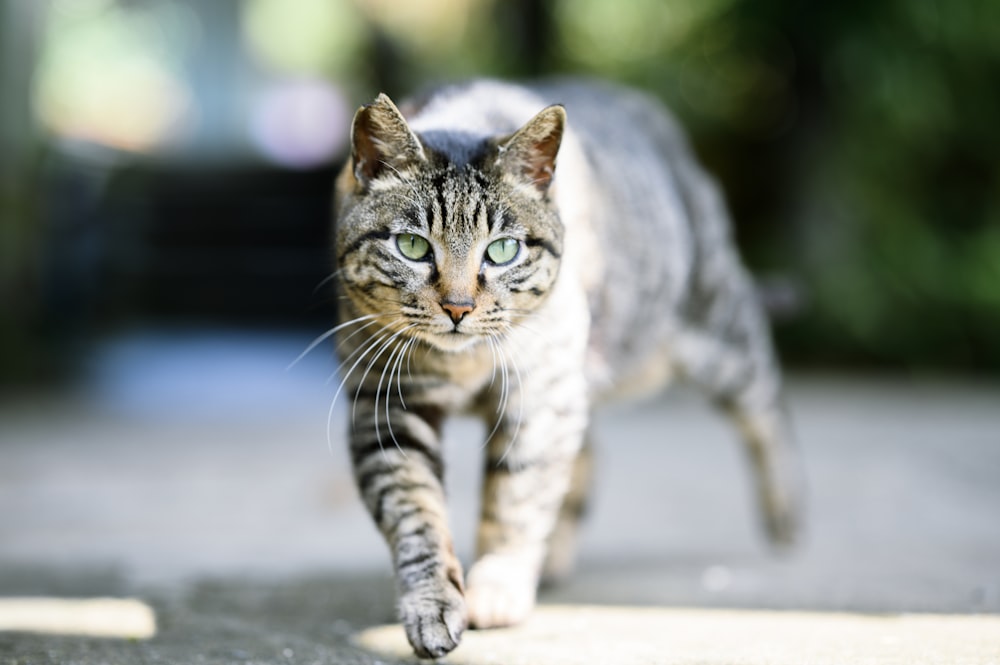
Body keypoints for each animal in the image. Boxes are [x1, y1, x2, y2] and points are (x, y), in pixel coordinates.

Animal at [332, 80, 800, 656]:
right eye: (413, 245)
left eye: (502, 250)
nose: (458, 308)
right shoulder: (386, 405)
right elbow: (415, 514)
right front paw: (433, 602)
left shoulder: (539, 398)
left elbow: (517, 498)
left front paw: (498, 584)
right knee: (588, 456)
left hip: (708, 328)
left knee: (766, 399)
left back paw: (786, 512)